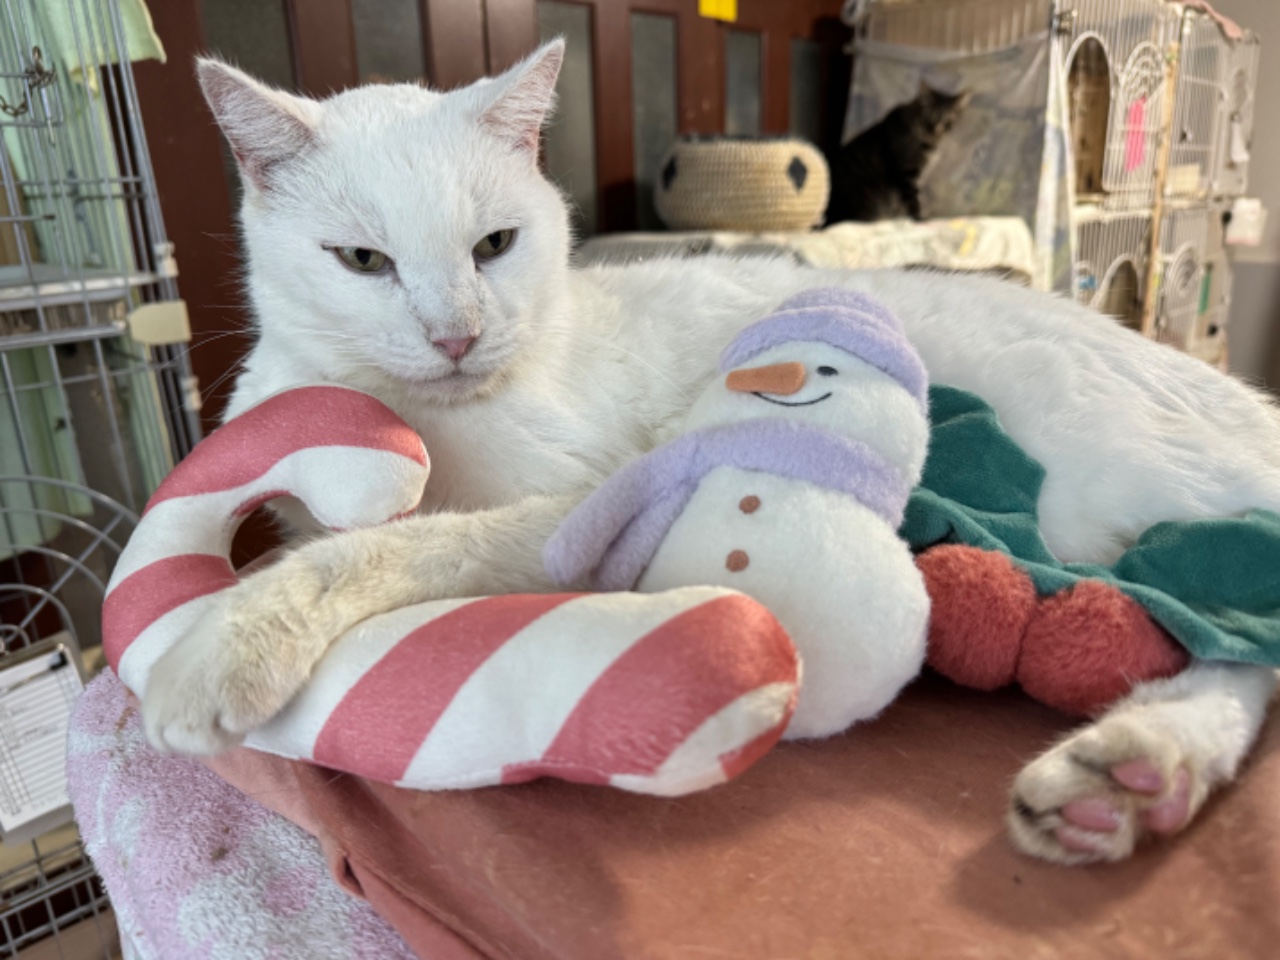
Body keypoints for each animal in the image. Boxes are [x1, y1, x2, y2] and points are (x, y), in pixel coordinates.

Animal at [826, 83, 969, 223]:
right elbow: (912, 201)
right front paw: (918, 219)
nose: (937, 128)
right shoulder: (906, 173)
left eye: (948, 119)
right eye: (929, 114)